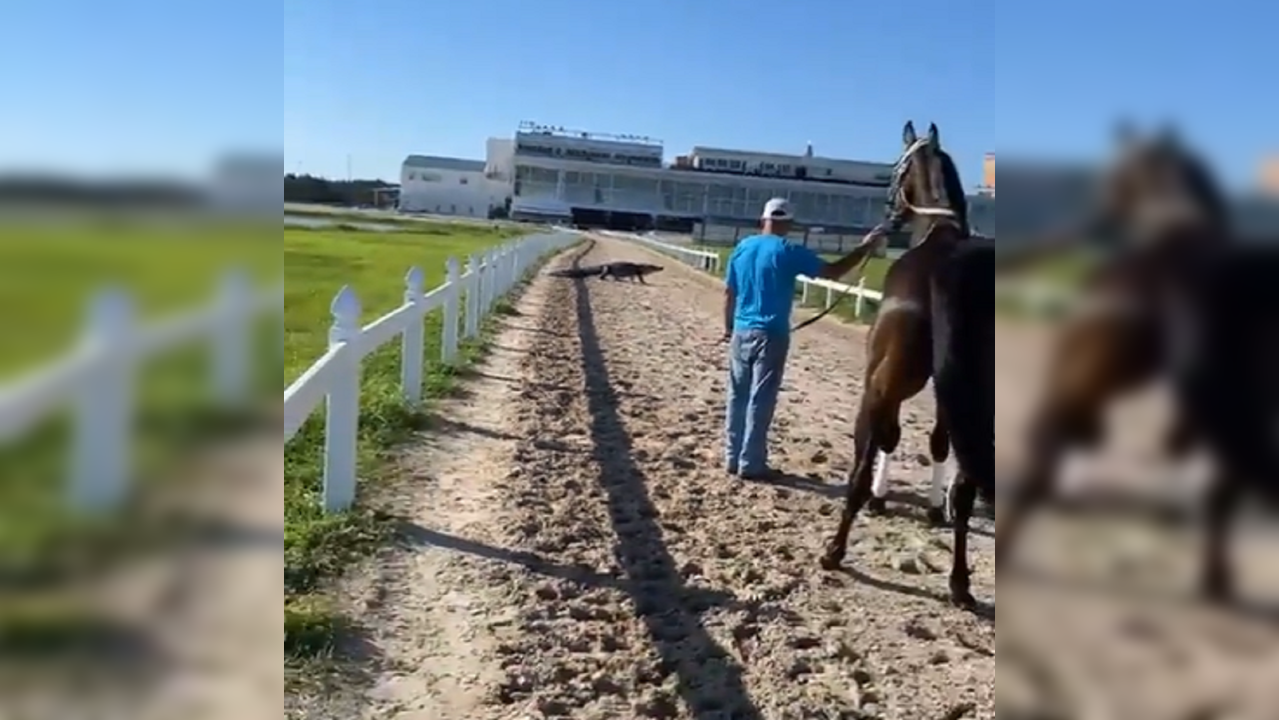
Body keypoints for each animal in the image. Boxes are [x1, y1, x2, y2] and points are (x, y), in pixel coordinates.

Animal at [818, 119, 987, 608]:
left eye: (895, 169)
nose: (888, 213)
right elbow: (936, 445)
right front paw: (931, 508)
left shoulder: (884, 382)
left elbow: (887, 439)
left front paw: (879, 498)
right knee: (964, 490)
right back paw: (959, 583)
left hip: (882, 385)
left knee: (861, 465)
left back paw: (835, 551)